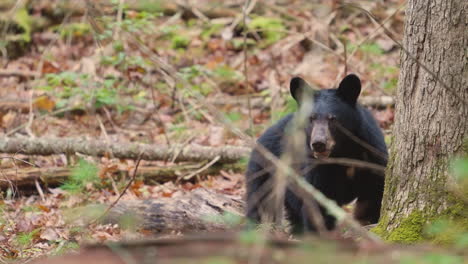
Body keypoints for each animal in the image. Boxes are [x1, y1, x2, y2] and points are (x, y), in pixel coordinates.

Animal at [245, 73, 388, 233]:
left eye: (332, 118)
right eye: (311, 118)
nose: (319, 143)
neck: (343, 152)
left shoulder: (371, 154)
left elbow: (374, 196)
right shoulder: (315, 168)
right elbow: (317, 204)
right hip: (266, 169)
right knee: (260, 201)